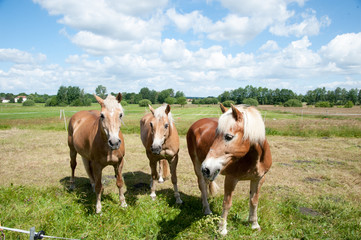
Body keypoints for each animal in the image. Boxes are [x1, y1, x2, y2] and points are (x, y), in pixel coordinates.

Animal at [187, 103, 272, 234]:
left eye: (228, 136)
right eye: (215, 135)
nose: (206, 168)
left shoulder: (259, 178)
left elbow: (254, 201)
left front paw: (254, 224)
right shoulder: (231, 179)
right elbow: (227, 203)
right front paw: (222, 229)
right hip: (197, 165)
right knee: (202, 186)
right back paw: (207, 210)